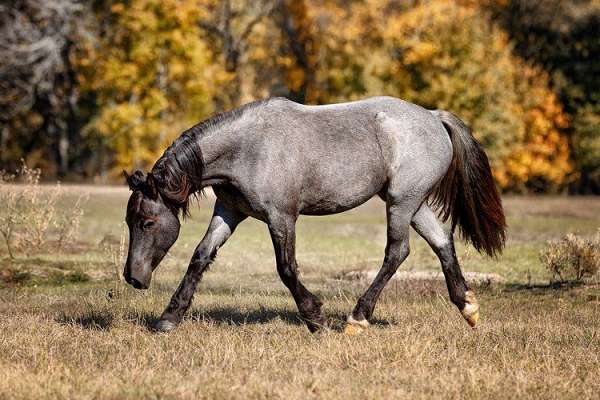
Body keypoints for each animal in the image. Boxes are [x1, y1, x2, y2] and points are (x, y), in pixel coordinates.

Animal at [123, 97, 506, 334]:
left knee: (397, 252)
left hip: (400, 203)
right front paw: (169, 318)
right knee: (442, 242)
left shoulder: (281, 217)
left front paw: (315, 317)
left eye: (147, 222)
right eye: (130, 221)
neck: (248, 148)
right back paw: (467, 307)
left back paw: (357, 318)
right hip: (411, 203)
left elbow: (287, 269)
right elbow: (200, 257)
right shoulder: (230, 212)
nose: (133, 278)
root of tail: (433, 116)